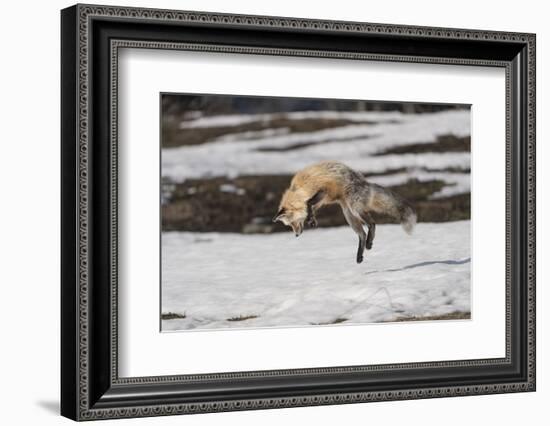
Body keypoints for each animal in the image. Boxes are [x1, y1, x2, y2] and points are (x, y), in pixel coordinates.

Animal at [274, 161, 416, 264]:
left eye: (292, 223)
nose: (296, 235)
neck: (299, 191)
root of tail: (366, 183)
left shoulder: (323, 190)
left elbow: (309, 203)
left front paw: (310, 217)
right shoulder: (320, 200)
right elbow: (311, 208)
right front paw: (311, 219)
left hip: (355, 209)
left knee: (372, 224)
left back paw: (369, 242)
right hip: (349, 215)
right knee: (362, 234)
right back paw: (360, 255)